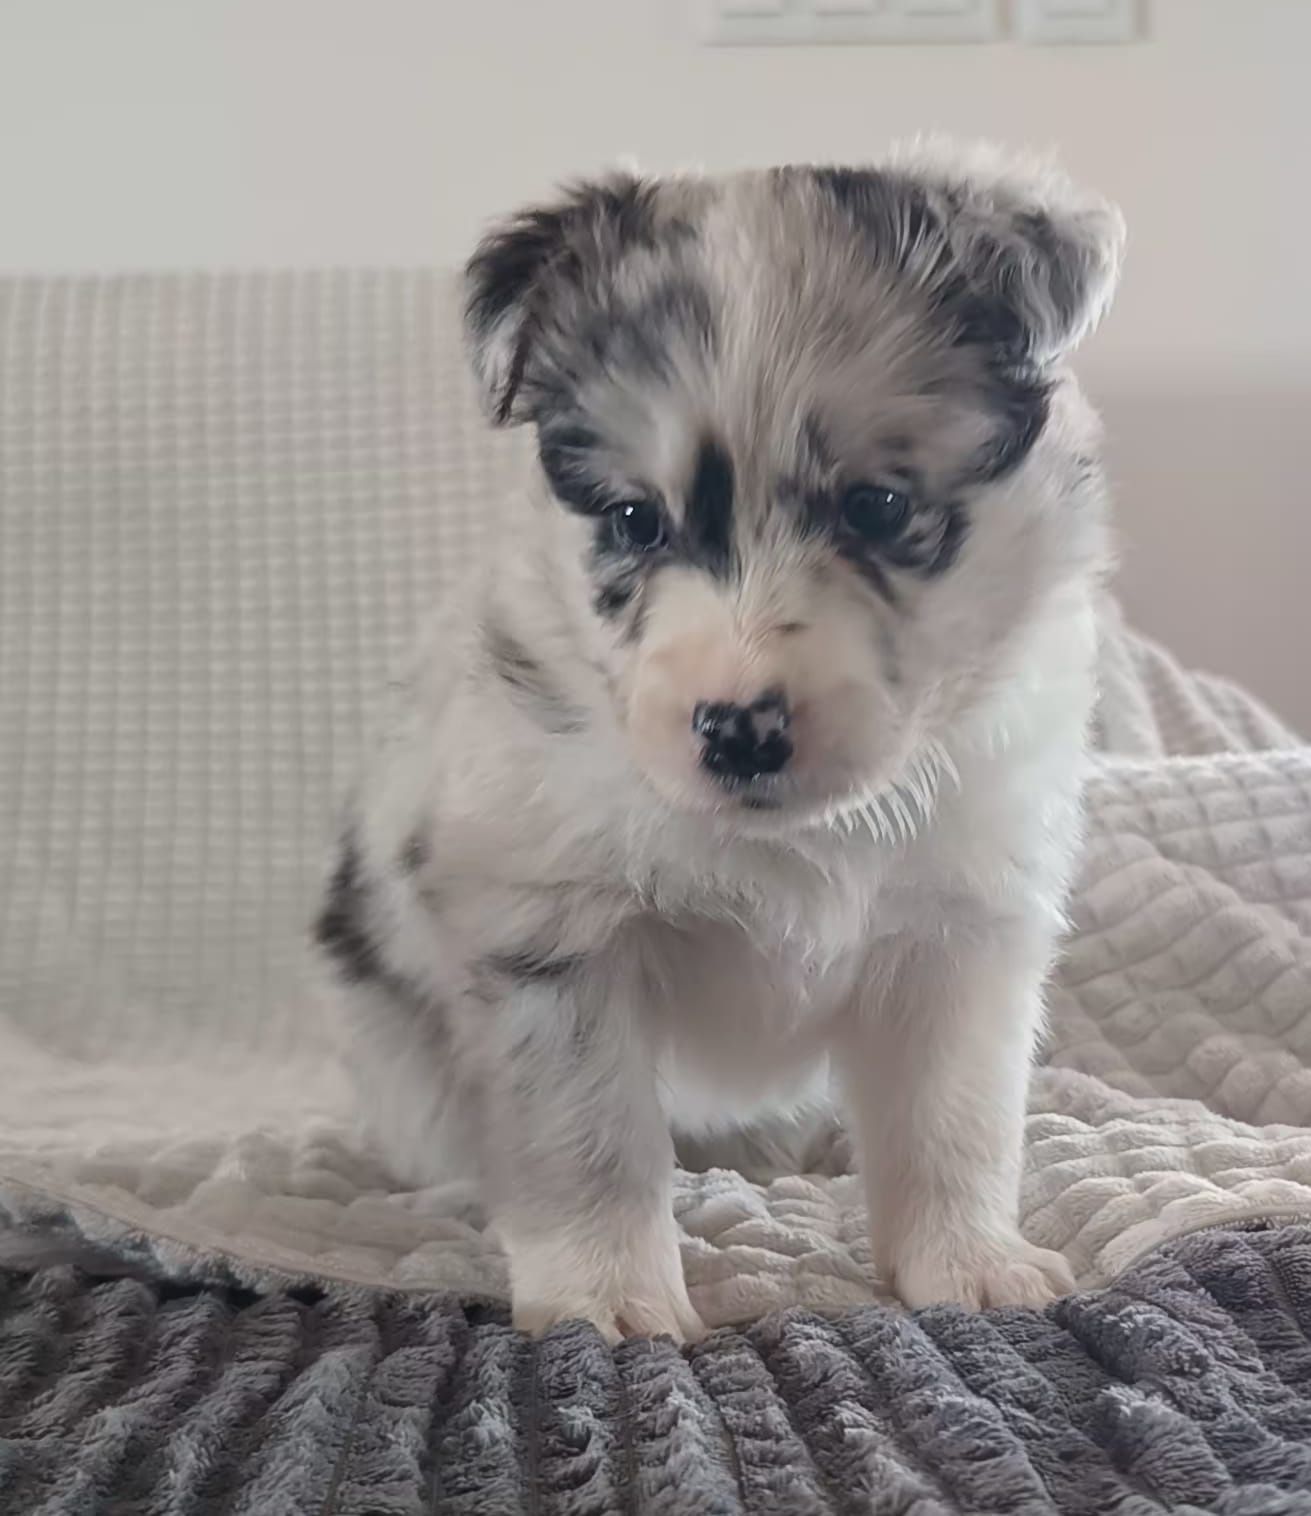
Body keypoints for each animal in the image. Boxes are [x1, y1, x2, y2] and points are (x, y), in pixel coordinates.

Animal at [316, 147, 1127, 1346]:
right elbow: (589, 1138)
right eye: (633, 520)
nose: (739, 728)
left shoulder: (963, 929)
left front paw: (968, 1262)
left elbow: (954, 1118)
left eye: (876, 506)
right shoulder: (549, 933)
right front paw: (604, 1295)